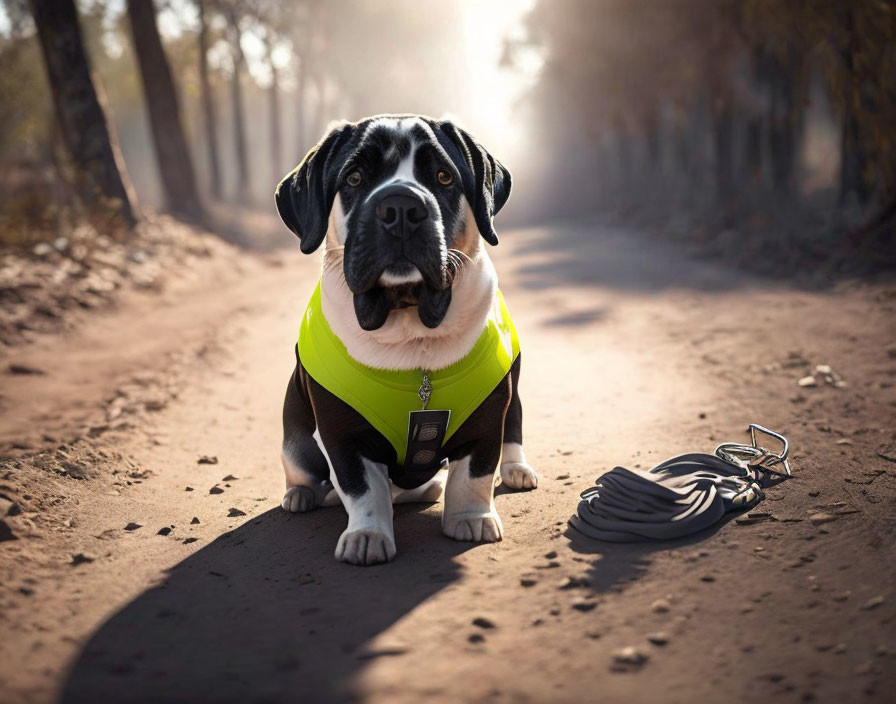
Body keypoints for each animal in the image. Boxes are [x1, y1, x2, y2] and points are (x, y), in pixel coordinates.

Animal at [276, 115, 536, 568]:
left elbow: (474, 473)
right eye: (354, 178)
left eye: (444, 177)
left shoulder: (489, 413)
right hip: (295, 438)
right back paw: (301, 495)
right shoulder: (342, 431)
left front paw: (470, 519)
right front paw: (367, 535)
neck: (411, 326)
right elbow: (362, 487)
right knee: (306, 468)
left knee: (513, 427)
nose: (400, 207)